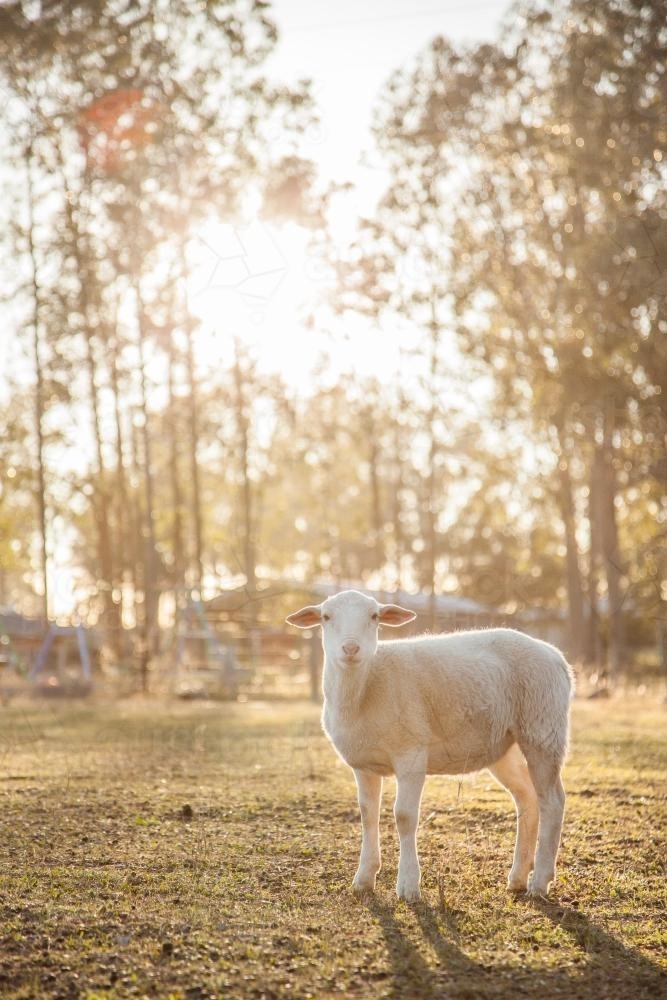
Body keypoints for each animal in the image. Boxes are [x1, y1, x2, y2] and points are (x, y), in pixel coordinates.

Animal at [286, 588, 573, 903]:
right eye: (326, 617)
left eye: (374, 616)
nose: (350, 649)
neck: (366, 686)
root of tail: (556, 655)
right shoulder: (363, 765)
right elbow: (367, 814)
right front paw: (363, 879)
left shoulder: (411, 754)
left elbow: (404, 816)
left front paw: (408, 886)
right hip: (504, 745)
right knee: (527, 799)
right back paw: (518, 878)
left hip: (543, 728)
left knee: (552, 801)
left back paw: (540, 882)